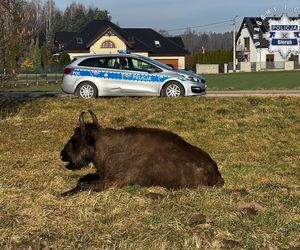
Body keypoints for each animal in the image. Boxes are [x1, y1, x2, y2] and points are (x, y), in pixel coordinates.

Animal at [59, 110, 224, 196]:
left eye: (75, 139)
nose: (62, 154)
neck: (106, 147)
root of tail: (215, 170)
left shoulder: (114, 182)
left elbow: (84, 185)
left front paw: (63, 193)